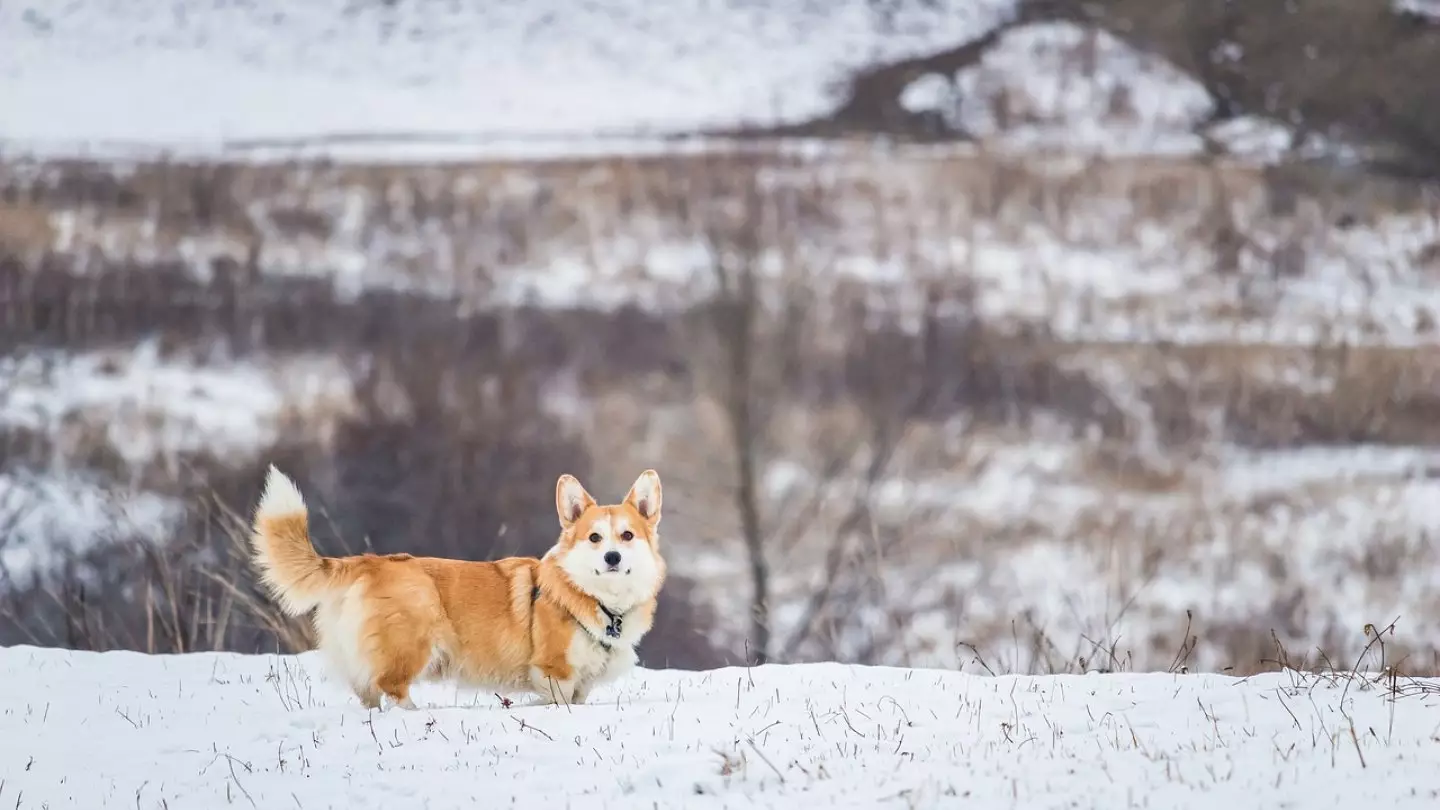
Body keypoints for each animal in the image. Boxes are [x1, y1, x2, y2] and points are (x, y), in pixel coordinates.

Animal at [249, 464, 668, 709]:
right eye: (594, 538)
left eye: (627, 535)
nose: (612, 557)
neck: (600, 601)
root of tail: (370, 561)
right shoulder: (555, 672)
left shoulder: (582, 684)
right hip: (412, 641)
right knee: (392, 687)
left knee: (369, 695)